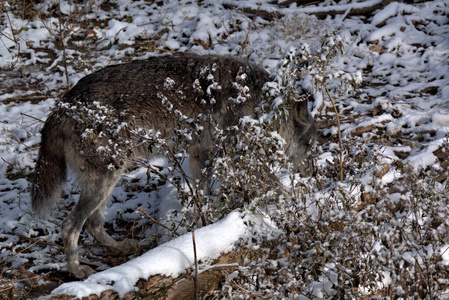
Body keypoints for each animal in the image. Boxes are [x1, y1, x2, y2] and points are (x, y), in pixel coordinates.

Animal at [30, 52, 316, 278]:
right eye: (310, 146)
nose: (313, 176)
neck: (259, 103)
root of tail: (61, 106)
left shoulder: (199, 156)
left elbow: (202, 199)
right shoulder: (230, 157)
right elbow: (278, 188)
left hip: (109, 179)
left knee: (93, 223)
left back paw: (122, 248)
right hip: (104, 180)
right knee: (70, 227)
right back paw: (78, 271)